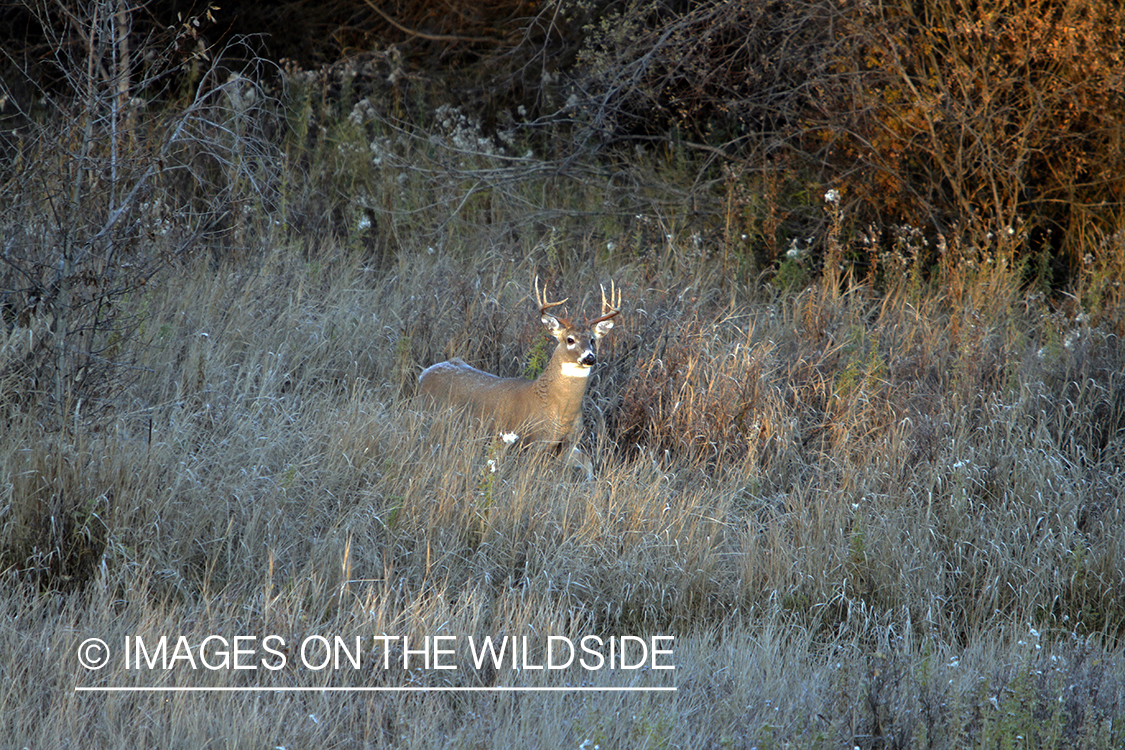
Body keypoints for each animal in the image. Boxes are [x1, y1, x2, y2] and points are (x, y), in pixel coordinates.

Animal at [418, 277, 625, 481]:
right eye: (570, 339)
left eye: (592, 340)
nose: (590, 357)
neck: (558, 409)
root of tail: (424, 374)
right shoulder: (533, 440)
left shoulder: (569, 442)